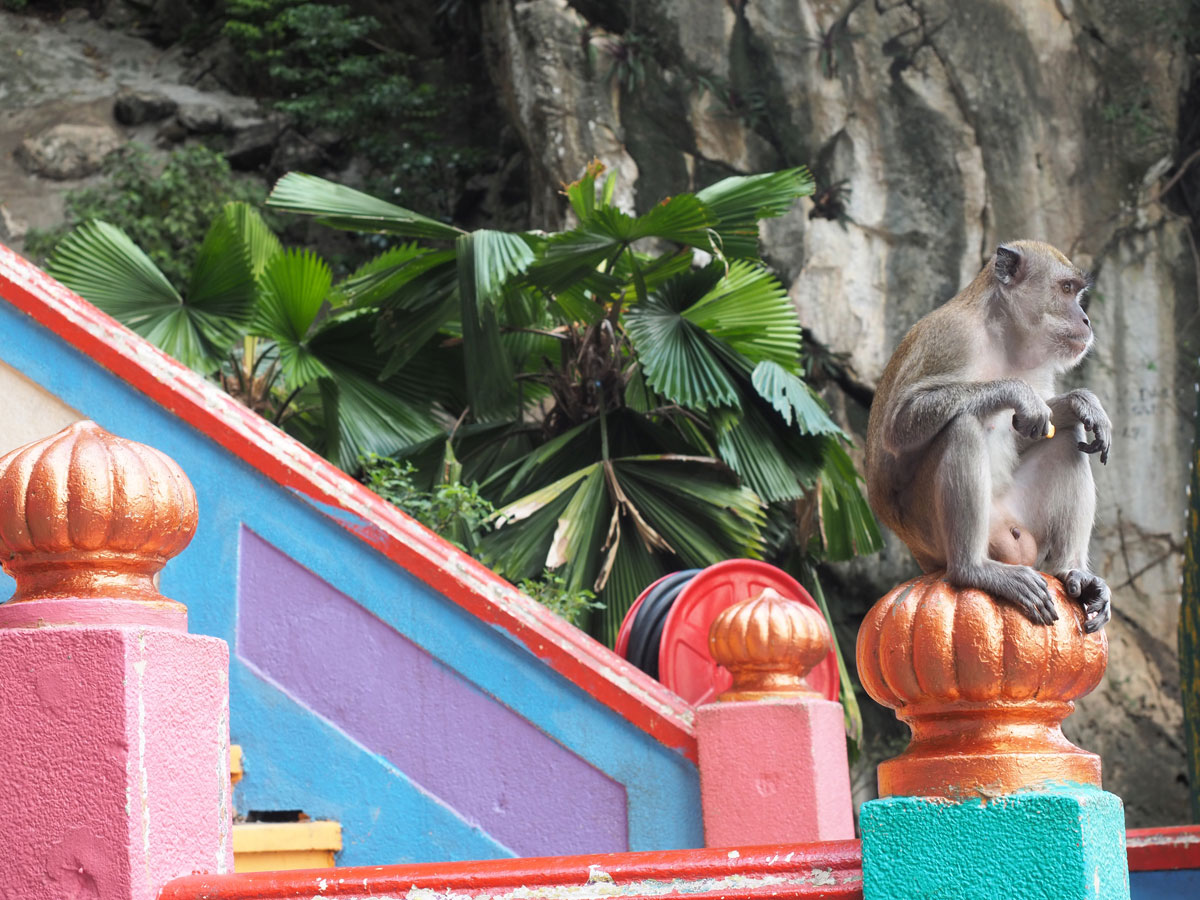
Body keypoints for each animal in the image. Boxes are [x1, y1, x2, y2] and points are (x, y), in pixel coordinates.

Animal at [868, 241, 1108, 633]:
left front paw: (1082, 402)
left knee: (1067, 437)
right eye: (1066, 289)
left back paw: (1071, 571)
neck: (1002, 333)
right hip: (931, 534)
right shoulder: (954, 336)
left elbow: (1035, 429)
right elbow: (899, 425)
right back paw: (974, 570)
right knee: (962, 425)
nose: (1086, 320)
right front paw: (1017, 391)